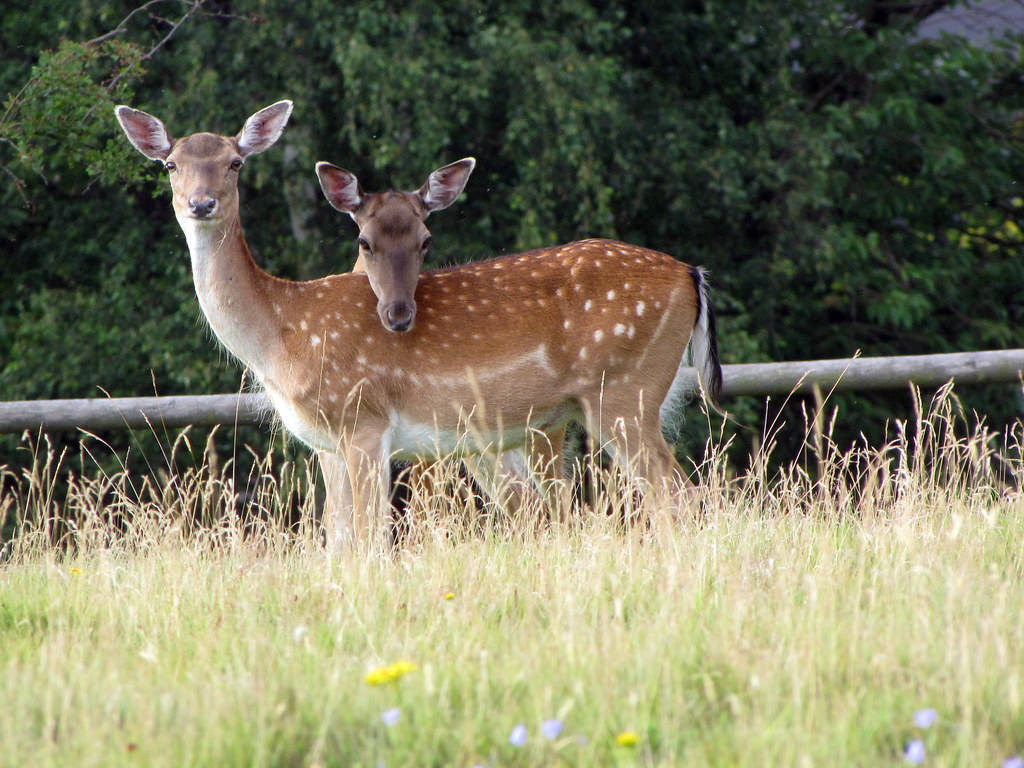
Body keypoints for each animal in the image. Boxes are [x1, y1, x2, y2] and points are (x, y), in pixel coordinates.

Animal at [115, 100, 724, 551]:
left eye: (235, 162)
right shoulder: (326, 443)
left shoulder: (362, 419)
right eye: (170, 164)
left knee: (680, 496)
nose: (201, 203)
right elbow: (337, 543)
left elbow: (370, 542)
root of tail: (691, 275)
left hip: (623, 390)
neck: (282, 335)